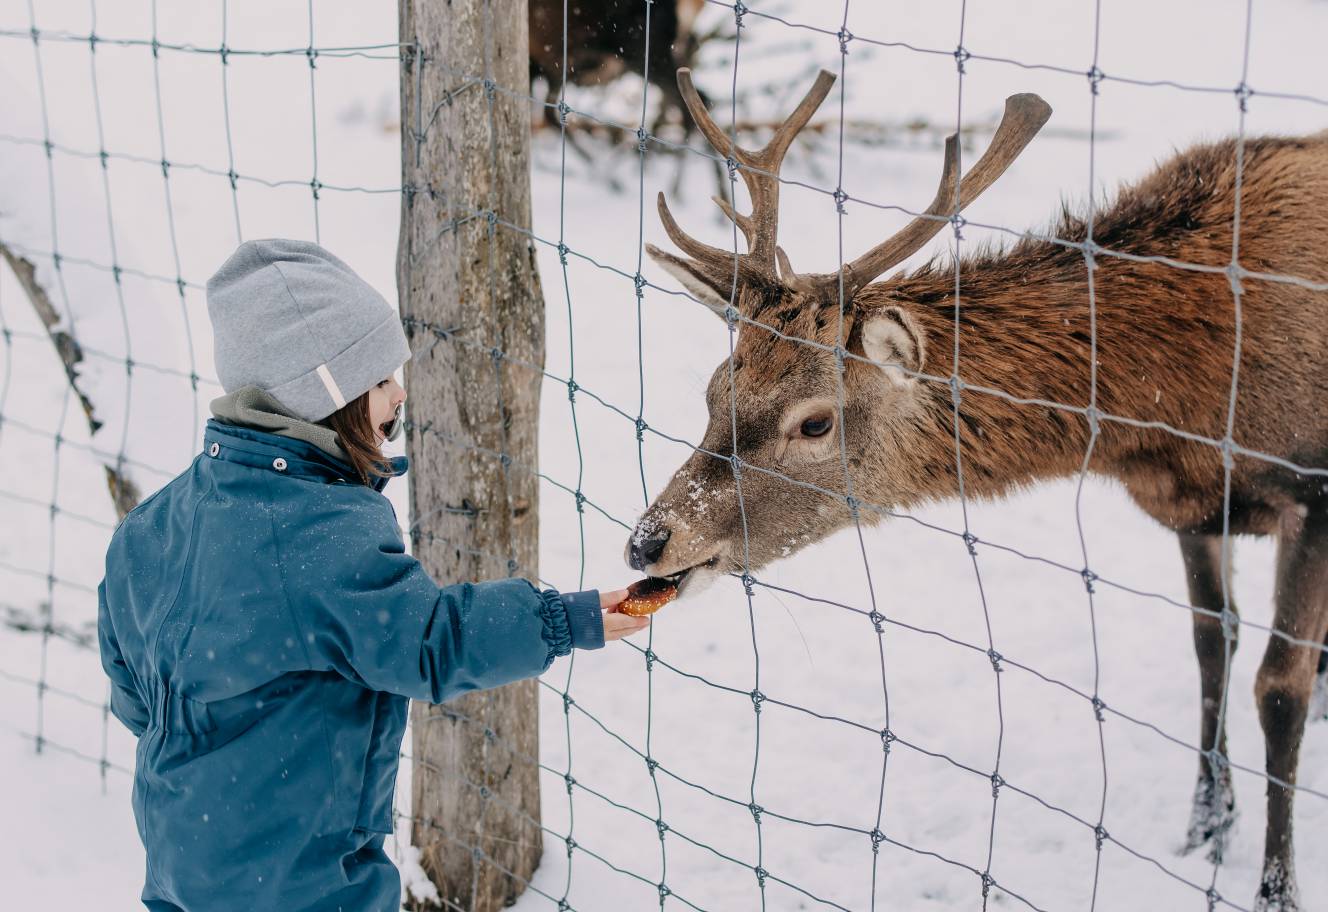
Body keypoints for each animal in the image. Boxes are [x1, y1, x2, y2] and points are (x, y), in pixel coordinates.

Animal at [626, 66, 1328, 912]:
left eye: (815, 422)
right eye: (713, 390)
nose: (650, 539)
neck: (1184, 411)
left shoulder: (1315, 490)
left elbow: (1278, 689)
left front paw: (1275, 887)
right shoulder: (1193, 507)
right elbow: (1211, 647)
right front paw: (1204, 831)